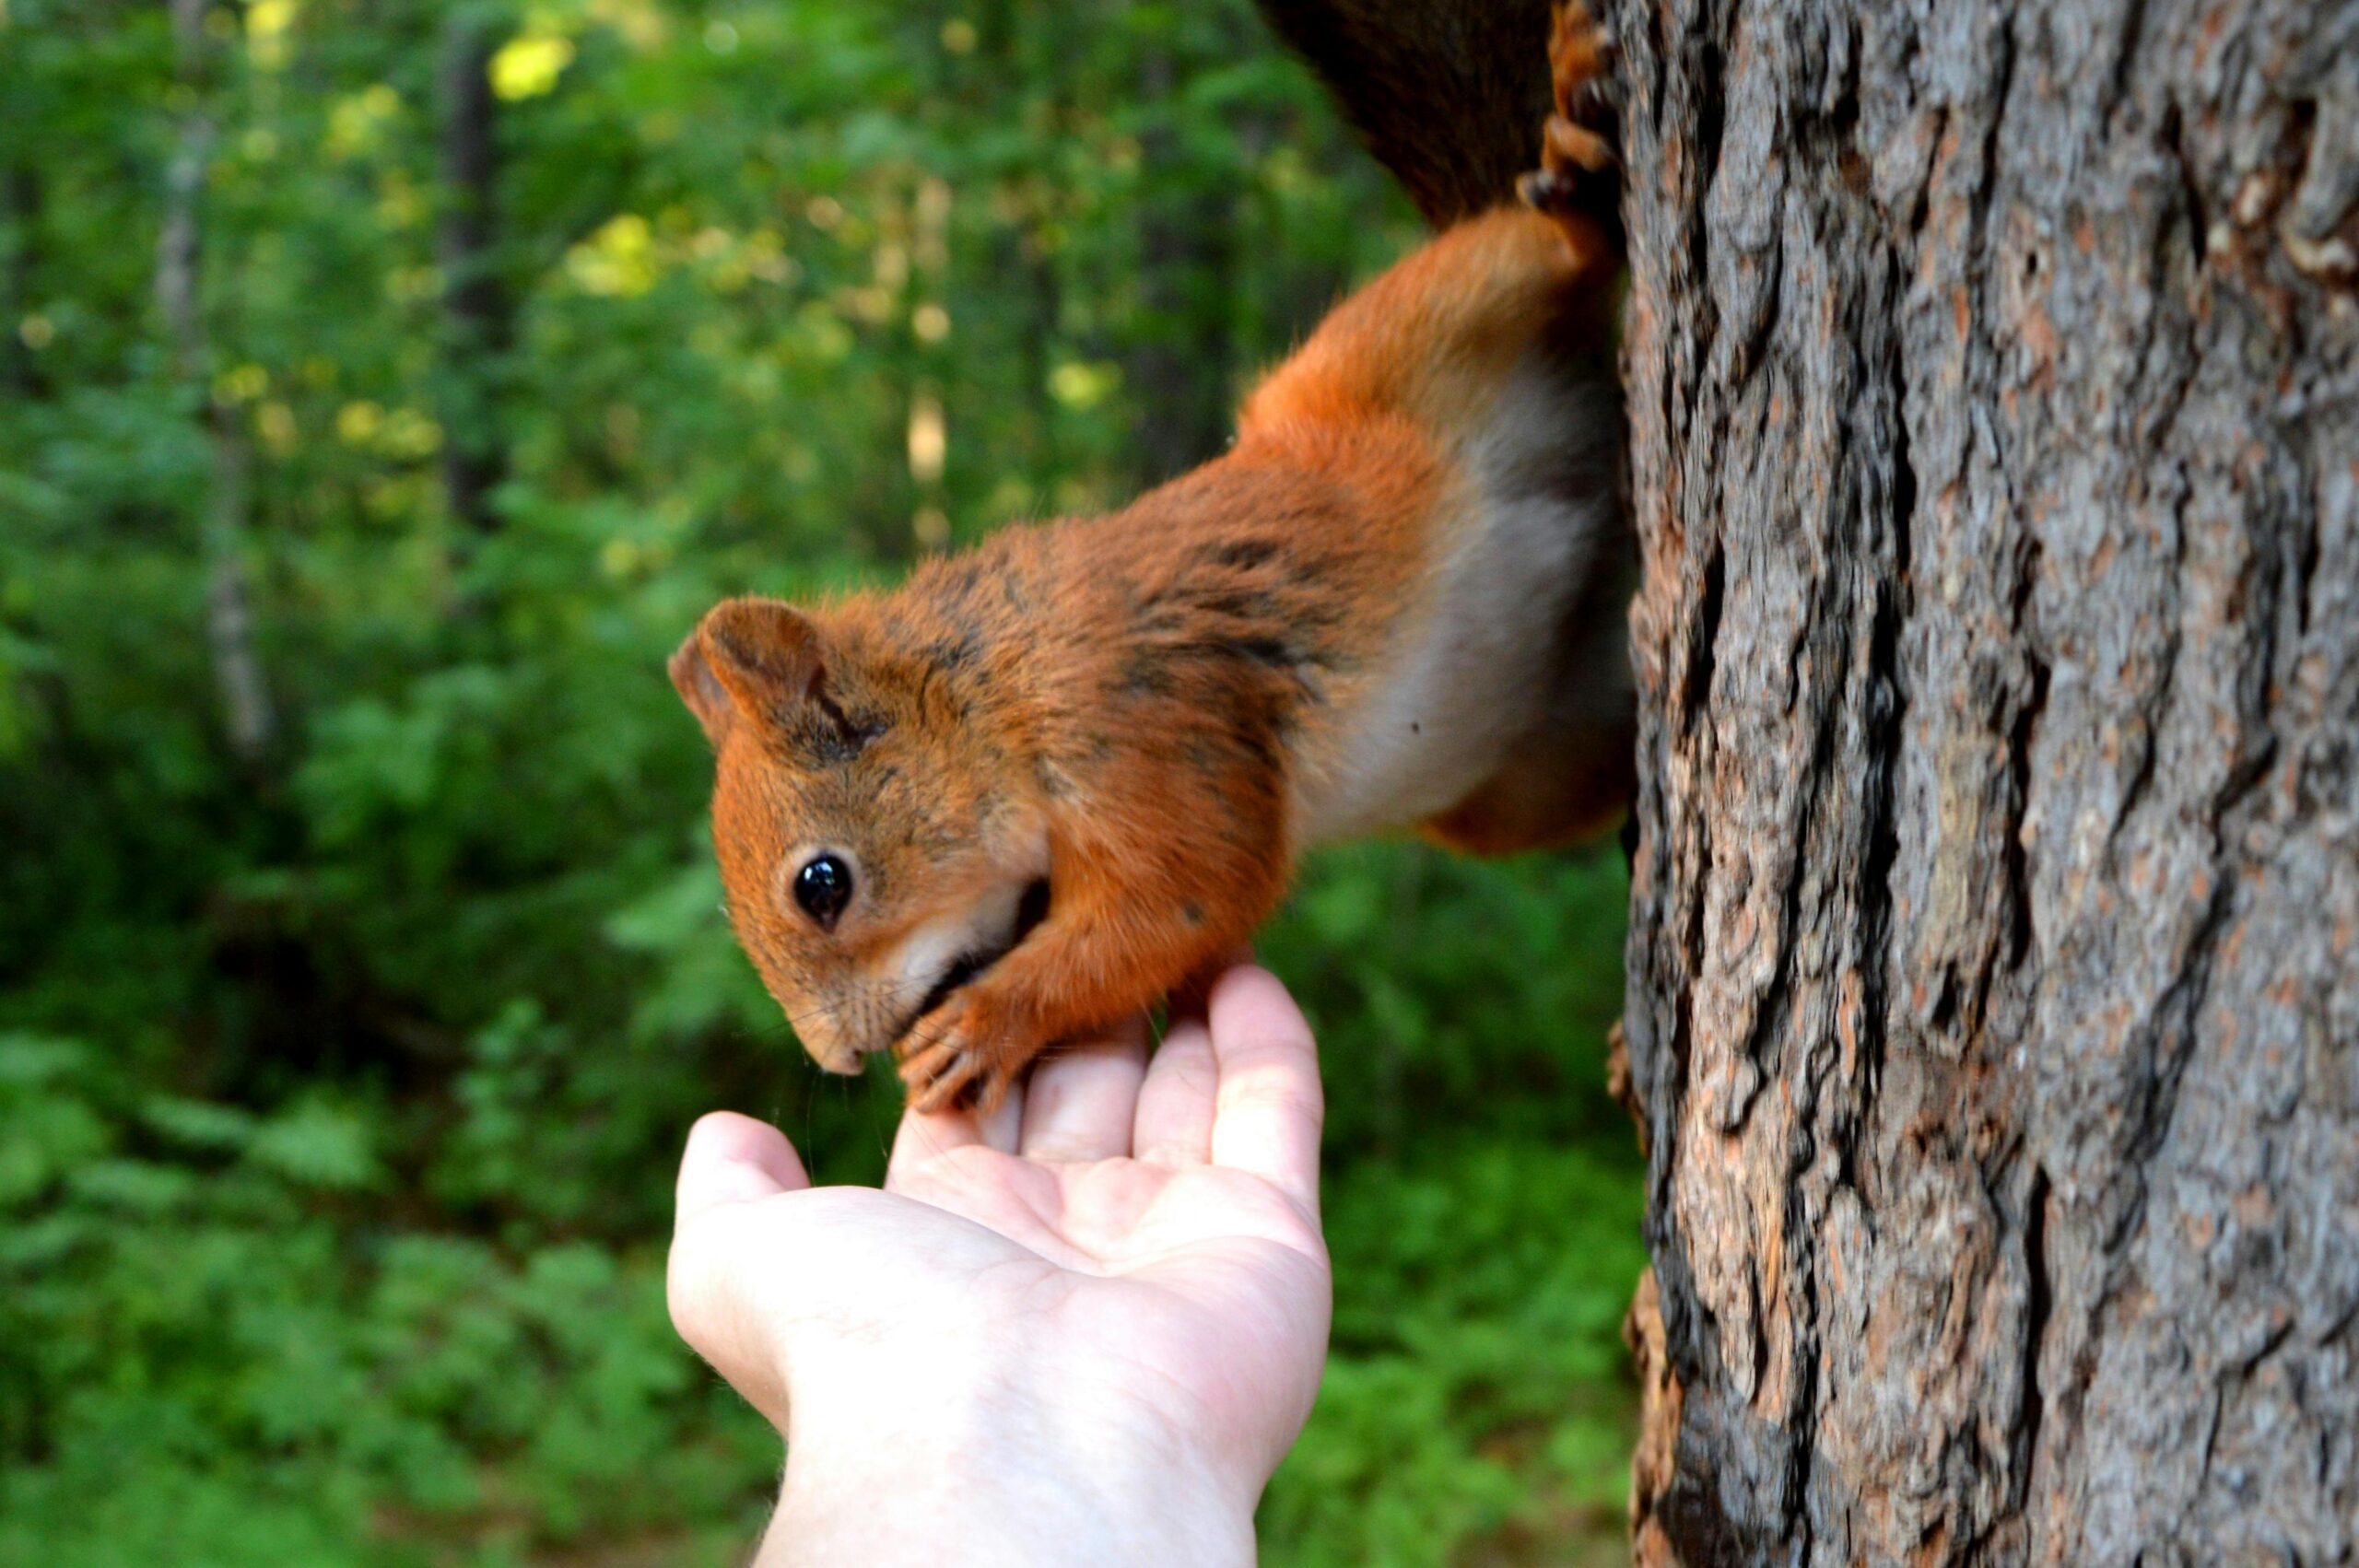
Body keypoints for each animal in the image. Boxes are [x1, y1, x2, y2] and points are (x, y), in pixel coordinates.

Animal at [664, 6, 1623, 1117]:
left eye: (823, 885)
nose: (839, 1061)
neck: (995, 693)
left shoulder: (1138, 725)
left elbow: (1183, 897)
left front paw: (986, 1023)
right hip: (1522, 777)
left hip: (1409, 330)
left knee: (1545, 247)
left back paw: (1572, 160)